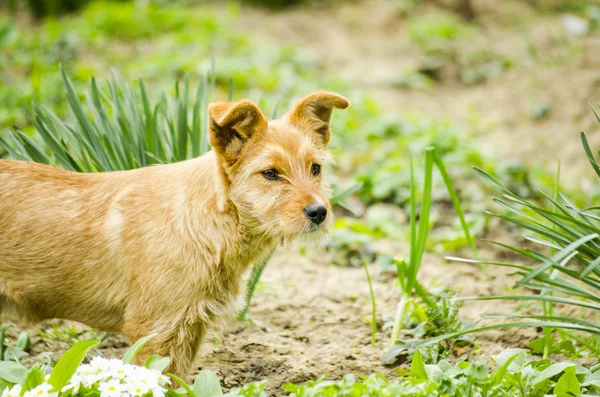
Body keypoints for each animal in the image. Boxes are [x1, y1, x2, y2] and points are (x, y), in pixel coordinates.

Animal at [0, 90, 346, 378]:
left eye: (315, 168)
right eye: (270, 173)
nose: (319, 212)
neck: (211, 223)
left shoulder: (189, 329)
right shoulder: (157, 332)